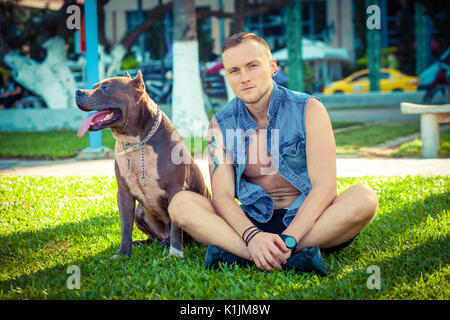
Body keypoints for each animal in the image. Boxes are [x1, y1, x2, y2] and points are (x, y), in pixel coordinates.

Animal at [75, 70, 211, 258]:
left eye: (105, 87)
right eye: (95, 86)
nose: (77, 91)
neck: (136, 143)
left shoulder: (176, 189)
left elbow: (176, 228)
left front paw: (175, 254)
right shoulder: (123, 193)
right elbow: (125, 227)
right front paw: (123, 254)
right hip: (140, 211)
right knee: (153, 236)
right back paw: (145, 242)